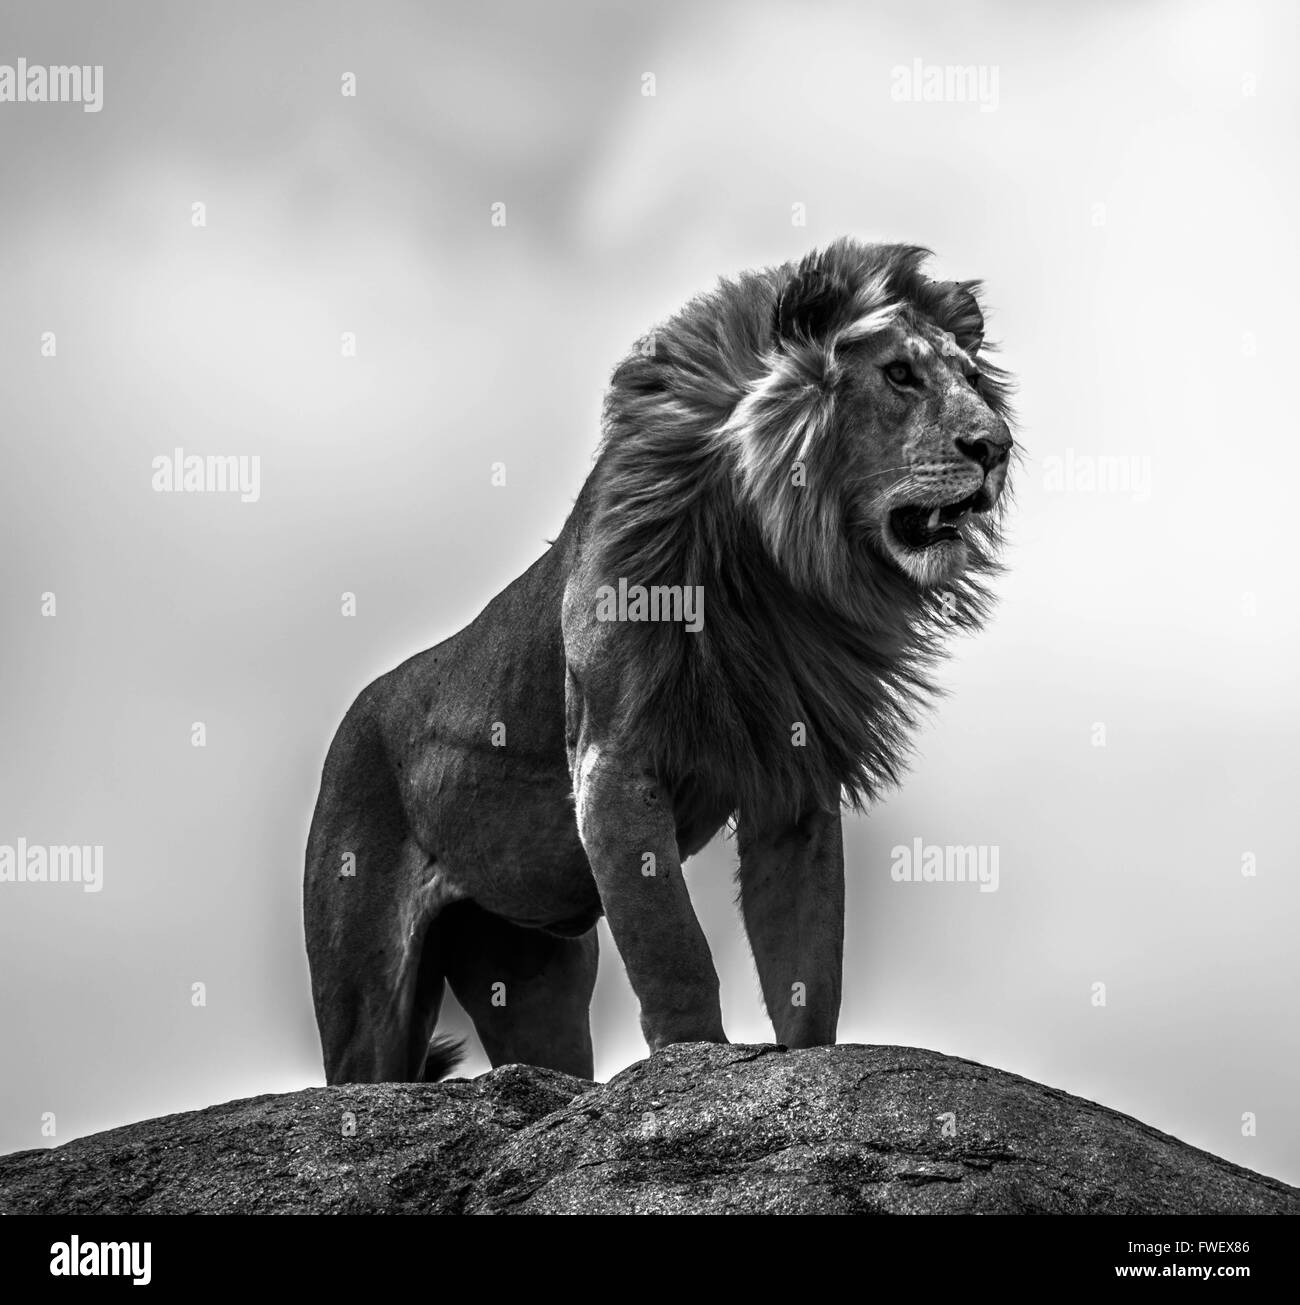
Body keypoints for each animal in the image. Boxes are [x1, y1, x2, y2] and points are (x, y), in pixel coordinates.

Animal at [304, 234, 1018, 1080]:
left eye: (973, 379)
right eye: (899, 374)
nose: (996, 447)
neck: (775, 563)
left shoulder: (794, 781)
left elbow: (808, 957)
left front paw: (806, 1064)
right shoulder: (613, 761)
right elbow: (674, 947)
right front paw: (695, 1060)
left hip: (531, 971)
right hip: (365, 986)